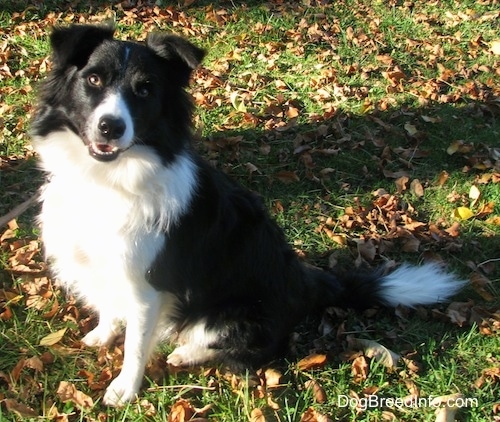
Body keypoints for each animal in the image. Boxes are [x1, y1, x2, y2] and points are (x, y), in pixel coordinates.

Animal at [33, 24, 464, 408]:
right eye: (93, 79)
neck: (111, 178)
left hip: (235, 314)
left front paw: (124, 389)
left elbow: (136, 346)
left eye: (145, 90)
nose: (111, 126)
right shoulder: (104, 263)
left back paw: (188, 353)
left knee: (252, 350)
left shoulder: (148, 287)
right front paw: (102, 335)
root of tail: (306, 284)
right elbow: (109, 304)